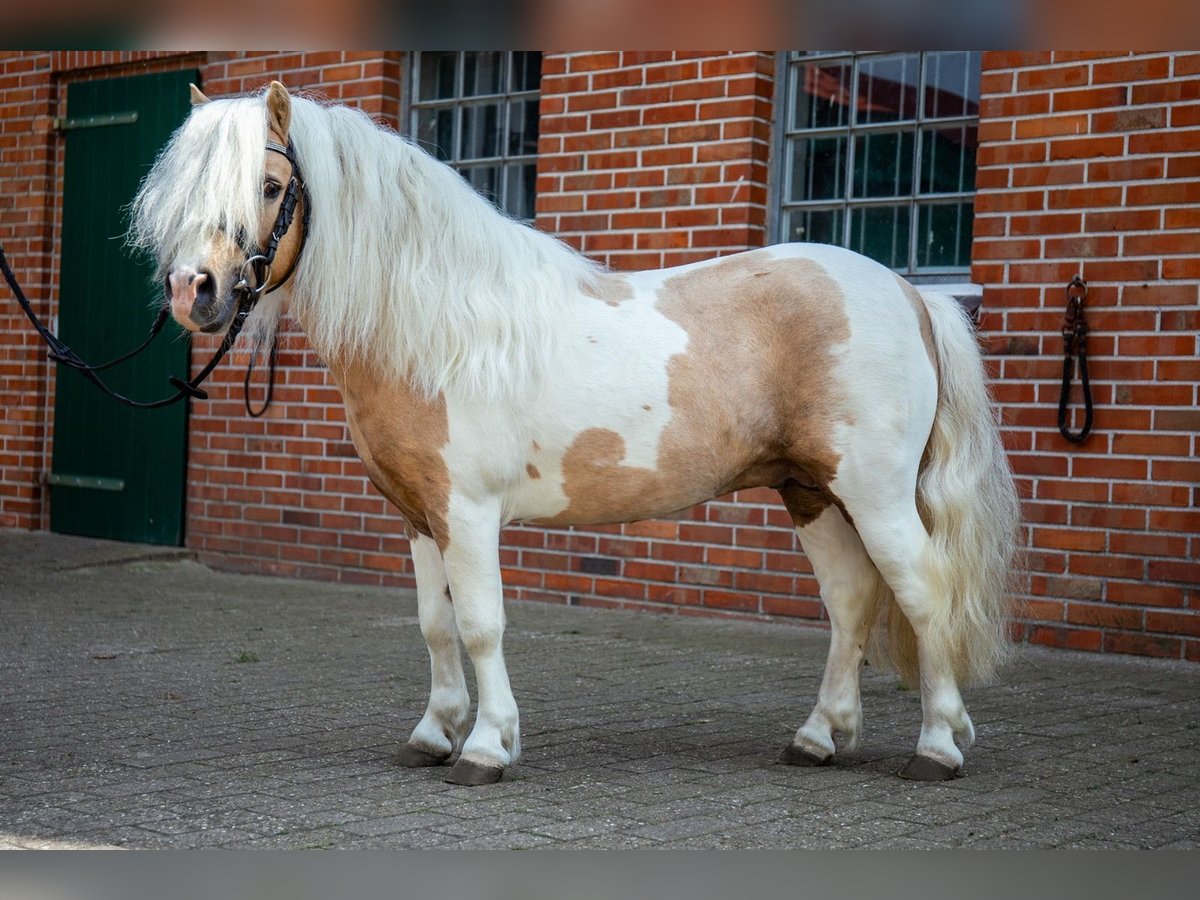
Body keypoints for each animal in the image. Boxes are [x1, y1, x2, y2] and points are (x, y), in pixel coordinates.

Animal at [131, 84, 1017, 787]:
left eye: (271, 184)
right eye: (183, 196)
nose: (193, 291)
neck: (437, 329)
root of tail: (909, 292)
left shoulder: (469, 512)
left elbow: (480, 623)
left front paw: (487, 749)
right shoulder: (419, 515)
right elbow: (434, 625)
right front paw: (434, 734)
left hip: (874, 494)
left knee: (923, 592)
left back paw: (938, 747)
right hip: (810, 492)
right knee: (851, 601)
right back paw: (819, 737)